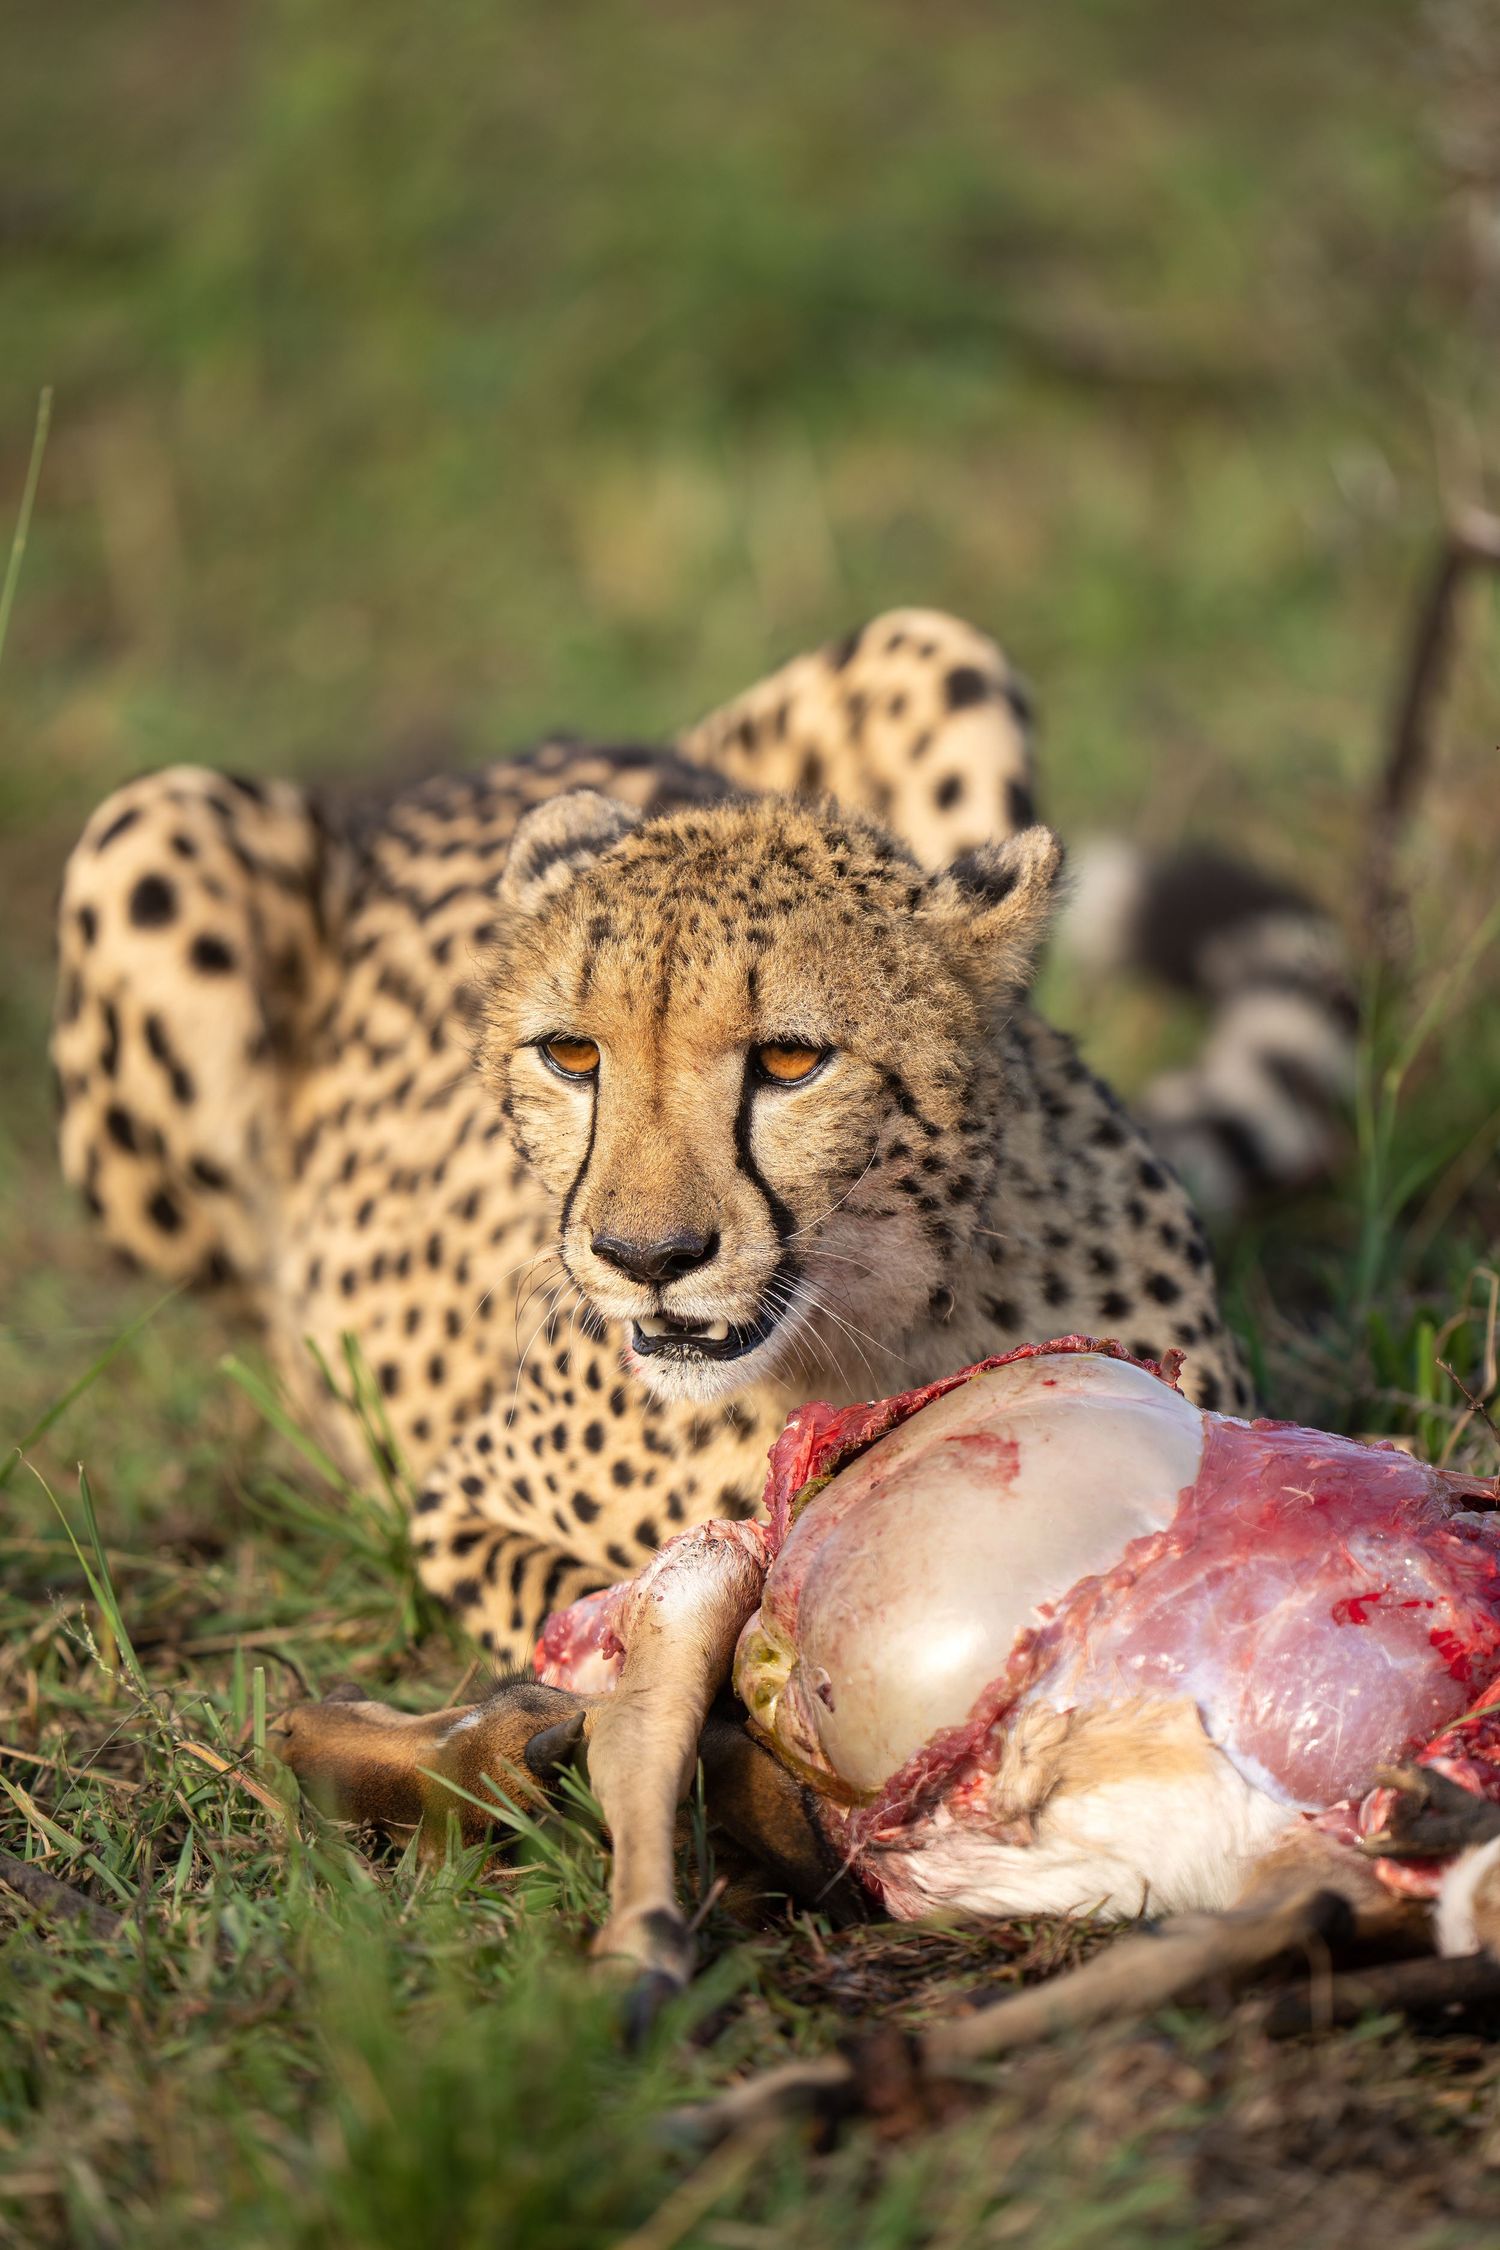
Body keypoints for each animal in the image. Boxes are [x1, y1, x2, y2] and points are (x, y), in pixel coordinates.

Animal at [52, 608, 1258, 1677]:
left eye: (789, 1061)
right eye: (572, 1055)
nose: (648, 1261)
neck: (878, 1332)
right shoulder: (455, 1510)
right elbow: (585, 1607)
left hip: (937, 645)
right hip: (146, 826)